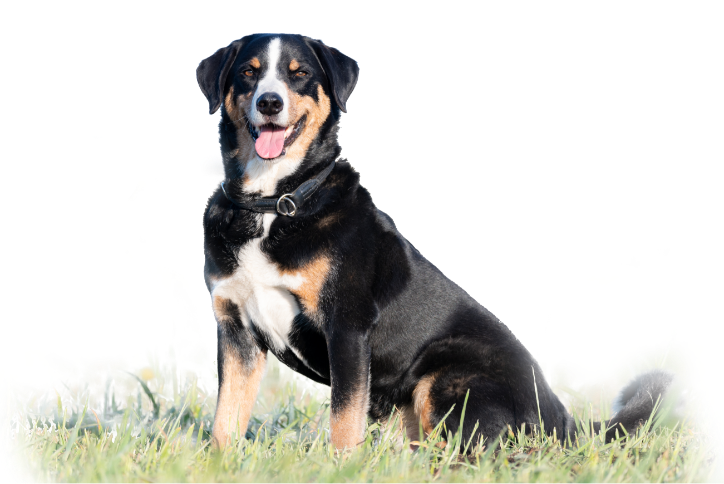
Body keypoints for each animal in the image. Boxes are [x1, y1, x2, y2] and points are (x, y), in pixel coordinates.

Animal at [196, 33, 685, 452]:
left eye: (299, 74)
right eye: (249, 72)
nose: (270, 101)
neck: (275, 204)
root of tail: (562, 418)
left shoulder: (347, 324)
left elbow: (344, 418)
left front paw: (341, 466)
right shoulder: (237, 329)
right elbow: (226, 418)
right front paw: (219, 464)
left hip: (447, 374)